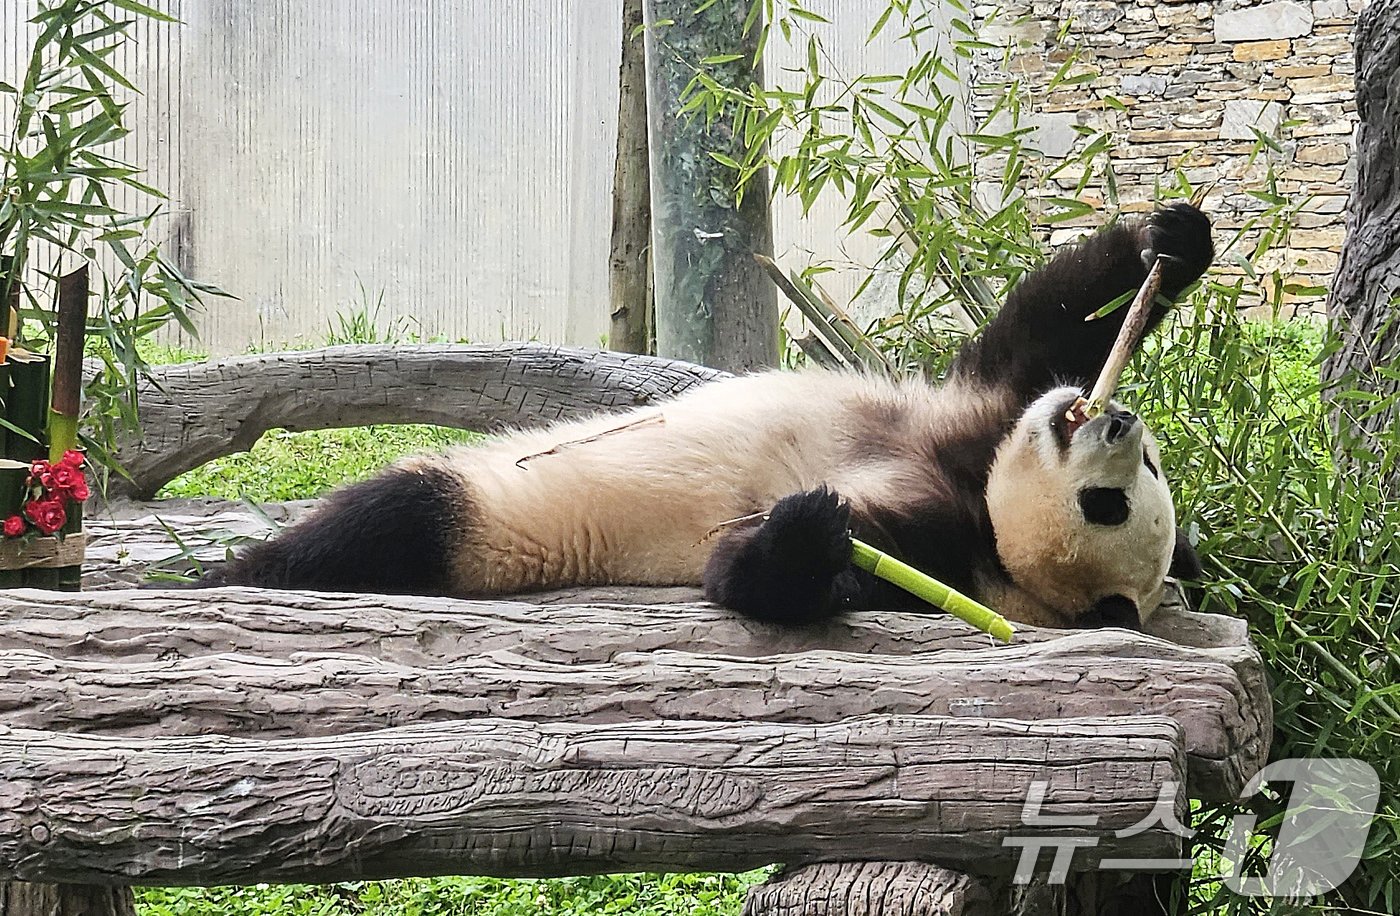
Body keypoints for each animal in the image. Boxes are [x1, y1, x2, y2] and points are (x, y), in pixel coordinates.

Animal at [200, 203, 1215, 633]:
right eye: (1146, 476)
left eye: (1111, 508)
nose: (1118, 424)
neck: (983, 510)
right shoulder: (978, 417)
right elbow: (1039, 332)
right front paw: (1169, 241)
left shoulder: (949, 553)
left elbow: (763, 574)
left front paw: (807, 529)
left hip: (498, 522)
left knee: (394, 523)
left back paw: (241, 572)